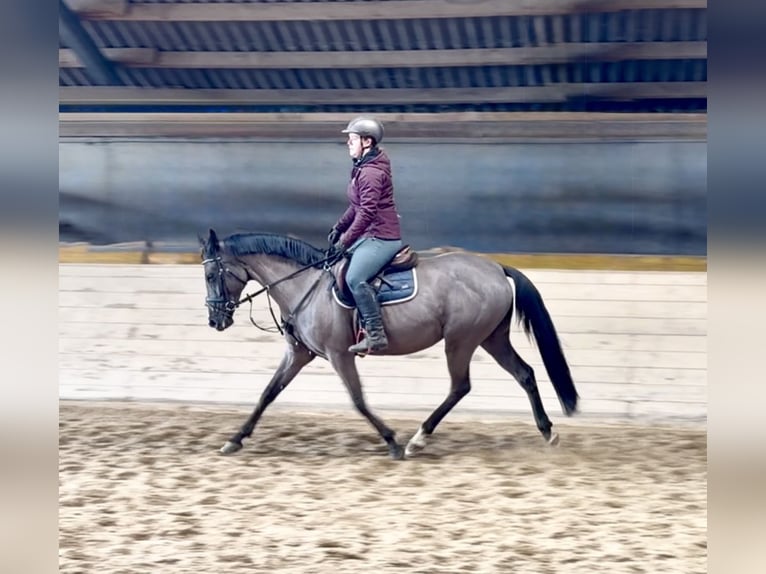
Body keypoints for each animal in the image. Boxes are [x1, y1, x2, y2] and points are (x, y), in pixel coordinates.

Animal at [199, 228, 578, 460]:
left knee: (460, 386)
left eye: (210, 274)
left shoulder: (340, 355)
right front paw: (235, 439)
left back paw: (416, 440)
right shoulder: (300, 354)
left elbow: (358, 400)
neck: (305, 284)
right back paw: (548, 433)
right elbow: (267, 394)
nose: (215, 321)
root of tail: (497, 268)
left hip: (461, 341)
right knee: (524, 374)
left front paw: (392, 441)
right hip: (491, 338)